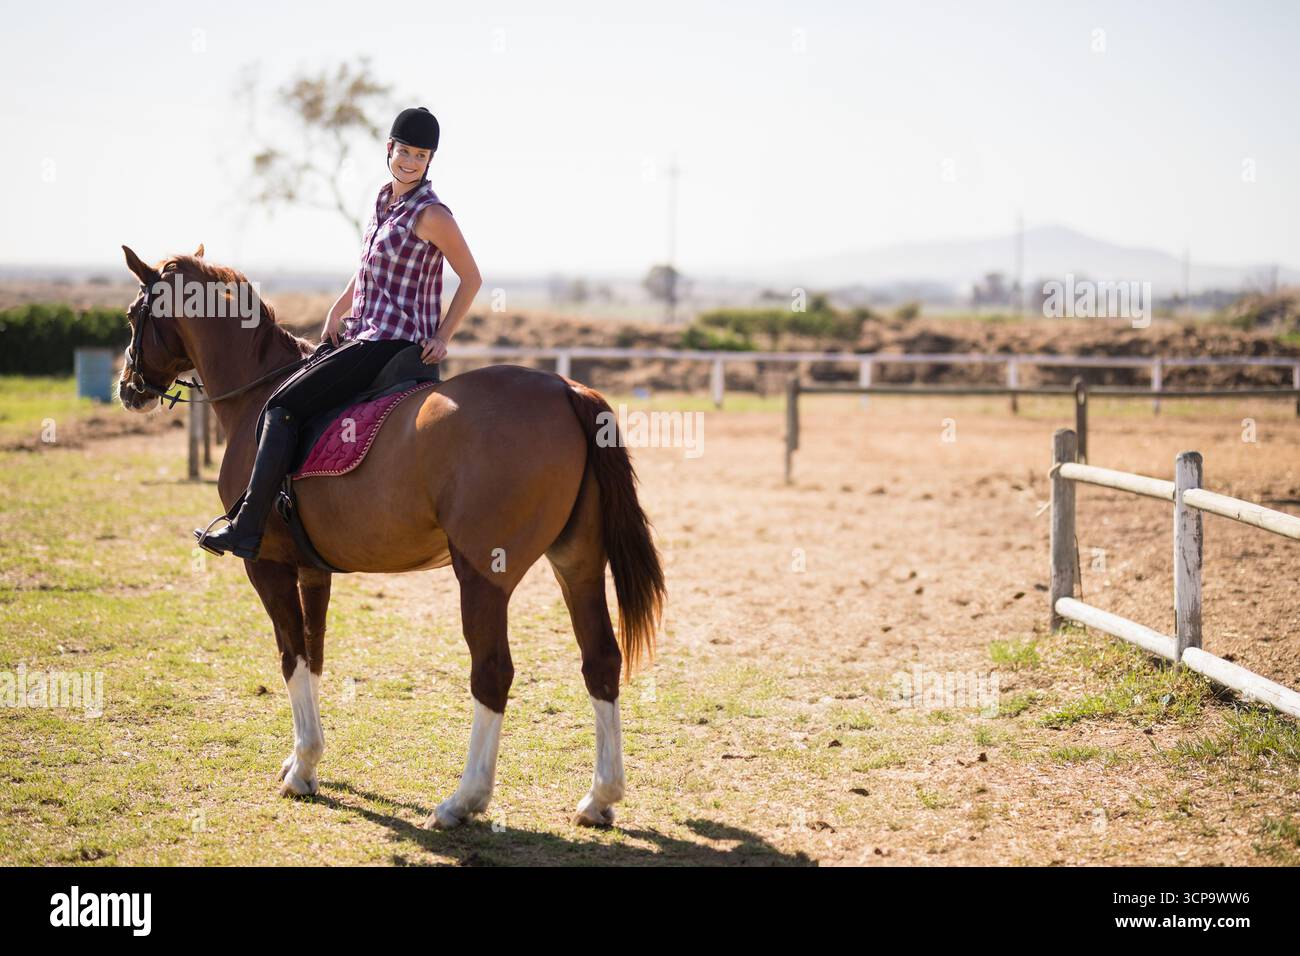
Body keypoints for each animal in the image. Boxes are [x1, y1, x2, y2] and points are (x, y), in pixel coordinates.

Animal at [116, 244, 665, 828]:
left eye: (132, 315)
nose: (127, 387)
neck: (259, 394)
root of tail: (565, 388)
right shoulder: (313, 570)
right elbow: (314, 653)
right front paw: (303, 760)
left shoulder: (266, 564)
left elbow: (291, 656)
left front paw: (302, 767)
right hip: (577, 564)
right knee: (601, 659)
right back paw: (600, 797)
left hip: (484, 575)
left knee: (492, 672)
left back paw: (462, 801)